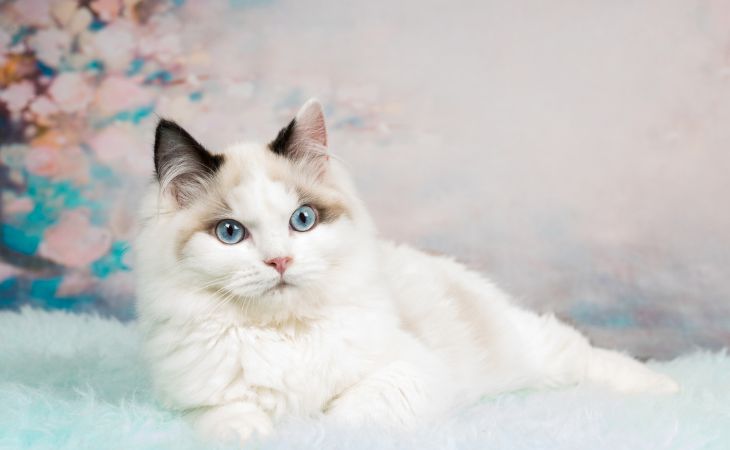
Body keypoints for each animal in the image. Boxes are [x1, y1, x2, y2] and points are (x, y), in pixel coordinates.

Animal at [132, 99, 676, 442]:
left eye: (302, 221)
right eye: (230, 233)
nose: (280, 261)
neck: (284, 334)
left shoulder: (411, 372)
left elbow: (348, 415)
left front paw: (317, 429)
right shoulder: (192, 400)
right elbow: (230, 417)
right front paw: (257, 431)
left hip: (529, 351)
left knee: (583, 355)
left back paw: (664, 388)